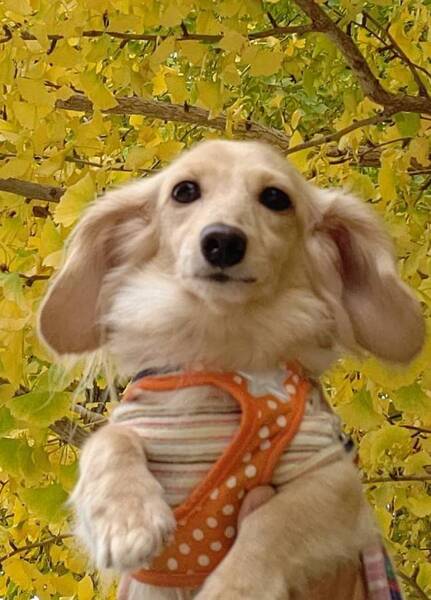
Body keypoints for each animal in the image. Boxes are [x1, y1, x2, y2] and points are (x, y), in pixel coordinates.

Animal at [38, 140, 424, 600]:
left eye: (276, 198)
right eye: (184, 191)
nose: (222, 241)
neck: (221, 342)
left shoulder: (333, 479)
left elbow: (272, 524)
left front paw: (232, 589)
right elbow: (110, 439)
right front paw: (127, 519)